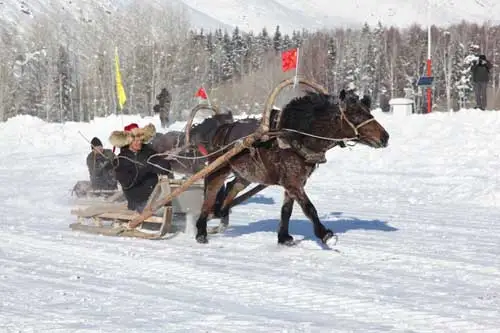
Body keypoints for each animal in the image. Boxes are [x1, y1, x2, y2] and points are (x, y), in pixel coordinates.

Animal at [193, 89, 388, 245]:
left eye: (368, 111)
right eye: (355, 114)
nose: (385, 137)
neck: (296, 135)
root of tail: (222, 129)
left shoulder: (295, 182)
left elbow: (287, 210)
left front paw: (283, 237)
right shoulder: (293, 182)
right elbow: (309, 208)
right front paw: (325, 234)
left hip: (246, 174)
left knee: (232, 187)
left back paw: (222, 215)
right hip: (219, 170)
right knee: (210, 195)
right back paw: (202, 230)